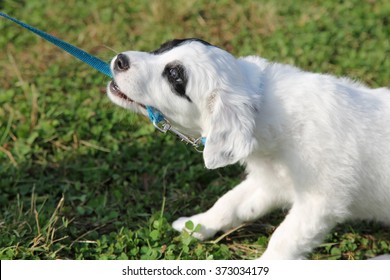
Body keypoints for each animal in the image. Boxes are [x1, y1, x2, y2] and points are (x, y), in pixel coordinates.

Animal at [107, 38, 390, 260]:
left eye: (175, 77)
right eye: (162, 48)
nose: (120, 60)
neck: (262, 103)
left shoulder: (320, 201)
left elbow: (284, 238)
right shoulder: (271, 181)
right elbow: (229, 203)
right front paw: (196, 225)